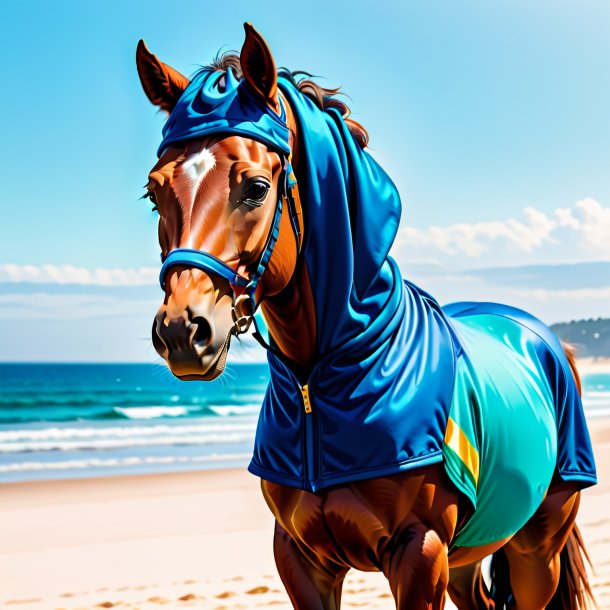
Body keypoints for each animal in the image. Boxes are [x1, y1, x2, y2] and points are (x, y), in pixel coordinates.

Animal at [135, 23, 592, 608]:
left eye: (256, 188)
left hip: (536, 552)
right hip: (472, 554)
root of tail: (546, 339)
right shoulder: (301, 559)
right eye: (154, 193)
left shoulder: (420, 556)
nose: (181, 330)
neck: (324, 375)